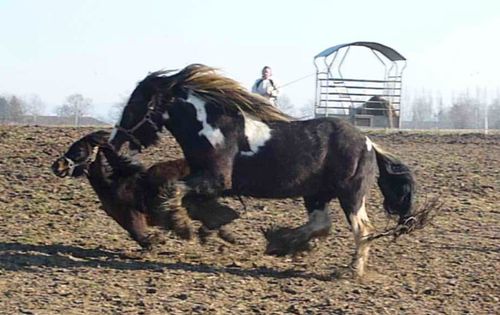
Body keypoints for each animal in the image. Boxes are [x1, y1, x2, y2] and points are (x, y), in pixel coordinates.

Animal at [51, 130, 239, 249]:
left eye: (79, 151)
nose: (56, 166)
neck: (116, 182)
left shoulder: (132, 213)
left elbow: (138, 233)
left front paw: (156, 241)